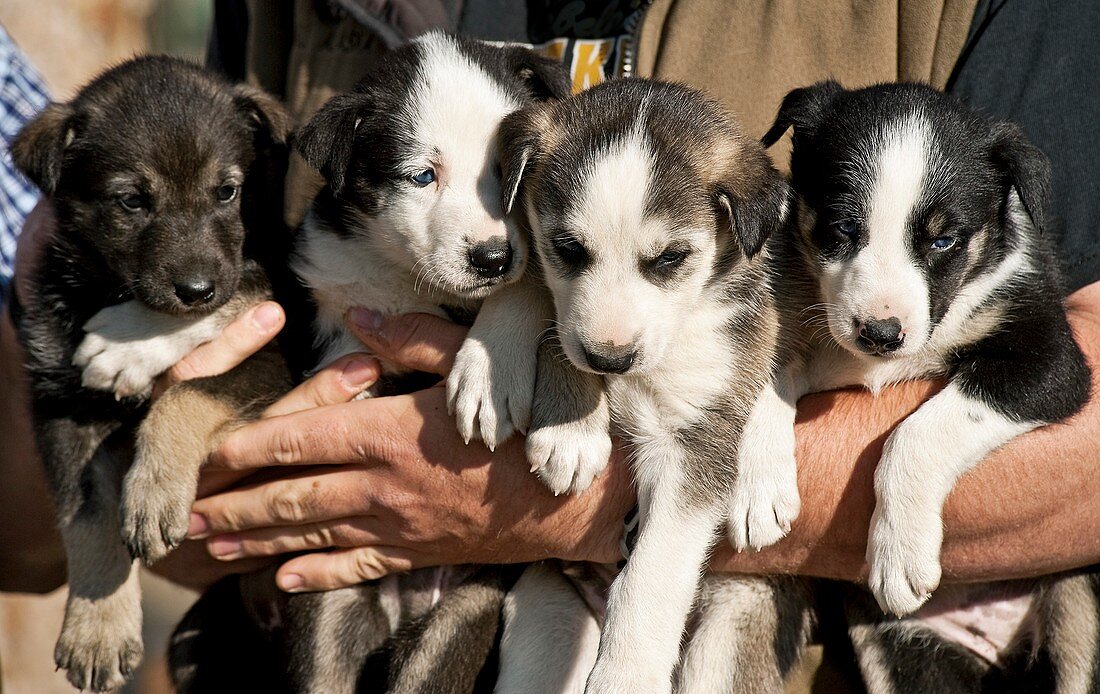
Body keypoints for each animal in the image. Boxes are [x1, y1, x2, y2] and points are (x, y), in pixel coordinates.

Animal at [9, 56, 292, 690]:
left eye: (227, 191)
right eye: (132, 201)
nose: (197, 290)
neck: (104, 290)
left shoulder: (273, 351)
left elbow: (187, 393)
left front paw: (154, 489)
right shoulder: (62, 406)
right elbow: (86, 516)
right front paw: (97, 629)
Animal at [499, 78, 792, 690]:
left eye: (671, 258)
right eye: (568, 248)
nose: (610, 358)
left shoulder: (696, 438)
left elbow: (653, 573)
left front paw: (626, 673)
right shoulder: (568, 316)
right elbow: (556, 329)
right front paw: (572, 431)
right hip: (547, 607)